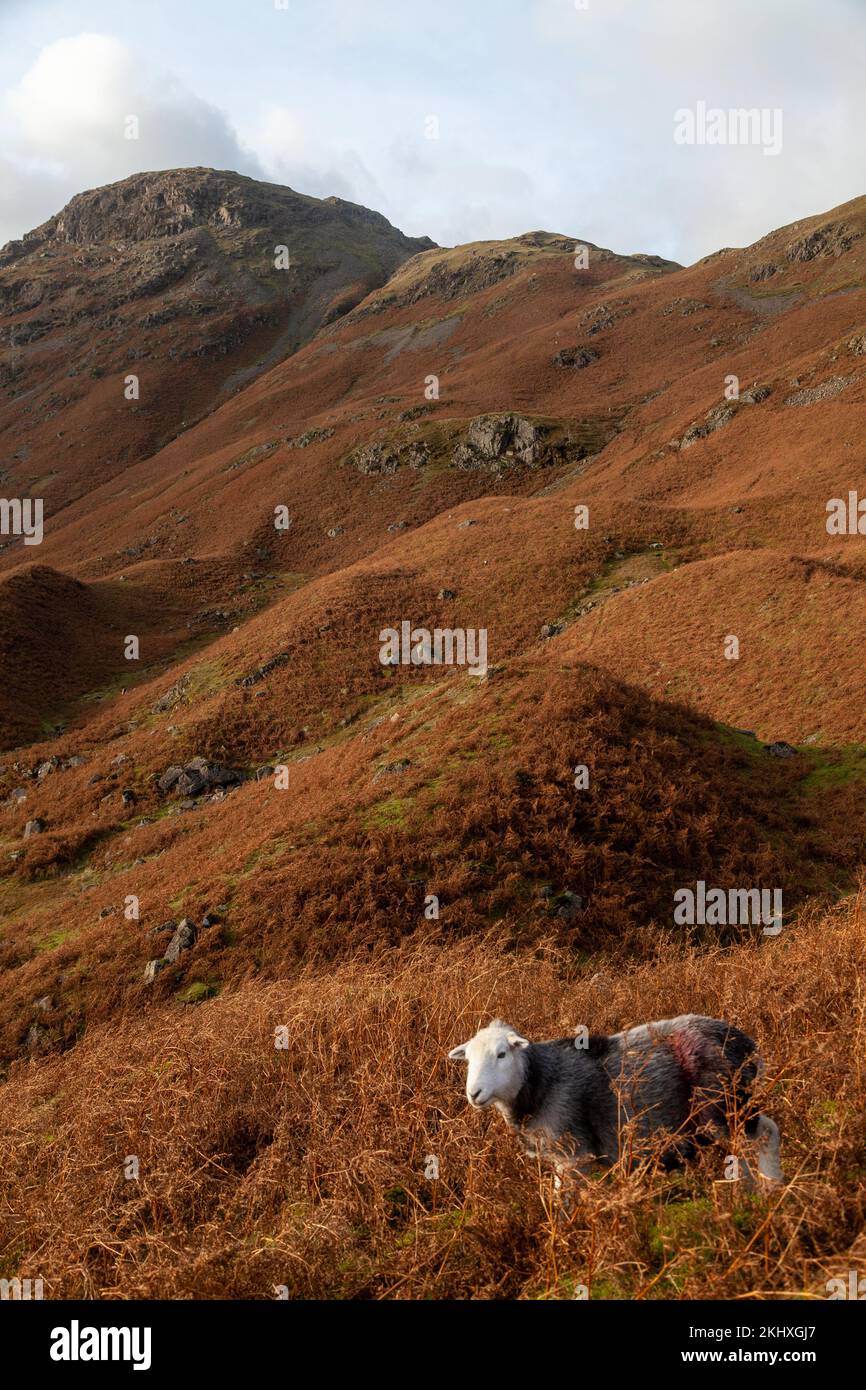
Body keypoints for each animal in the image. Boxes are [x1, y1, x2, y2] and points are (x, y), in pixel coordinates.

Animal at [450, 1011, 783, 1184]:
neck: (539, 1082)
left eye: (502, 1054)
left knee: (762, 1137)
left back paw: (763, 1192)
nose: (474, 1093)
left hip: (722, 1108)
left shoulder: (573, 1154)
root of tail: (747, 1044)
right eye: (468, 1059)